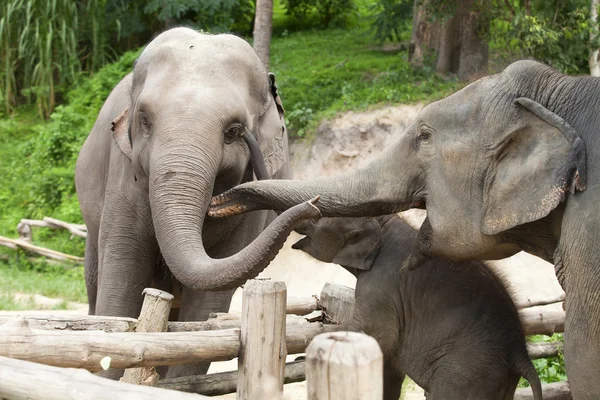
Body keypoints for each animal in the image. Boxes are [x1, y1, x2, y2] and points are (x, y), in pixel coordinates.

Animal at [75, 27, 322, 378]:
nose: (313, 204)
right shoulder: (122, 177)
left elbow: (206, 307)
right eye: (145, 120)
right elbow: (121, 284)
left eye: (233, 131)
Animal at [292, 216, 544, 400]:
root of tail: (520, 352)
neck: (386, 221)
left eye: (318, 217)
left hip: (469, 370)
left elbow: (375, 335)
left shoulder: (379, 288)